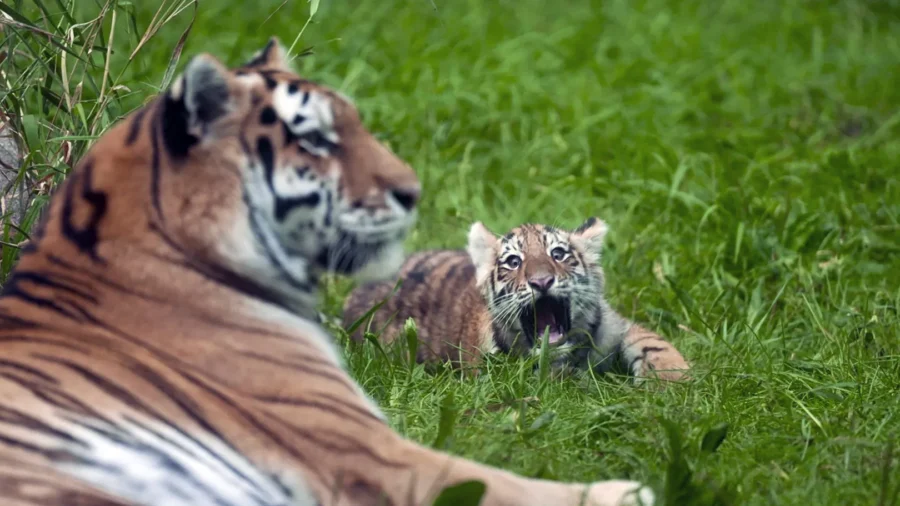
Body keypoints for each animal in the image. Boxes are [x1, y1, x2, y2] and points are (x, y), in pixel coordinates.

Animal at [0, 37, 652, 504]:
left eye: (560, 257)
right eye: (315, 138)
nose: (413, 192)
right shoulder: (361, 445)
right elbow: (506, 481)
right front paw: (628, 490)